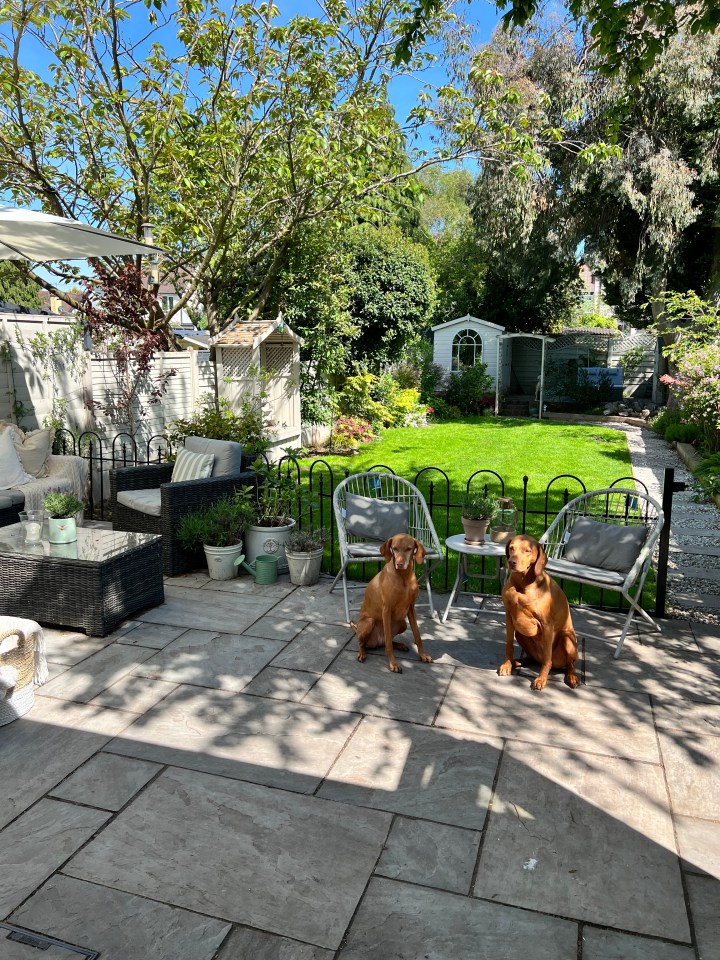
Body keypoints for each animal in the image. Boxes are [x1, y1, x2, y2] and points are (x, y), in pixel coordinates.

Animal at [350, 532, 430, 676]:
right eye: (395, 548)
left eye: (409, 549)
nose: (400, 563)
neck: (403, 576)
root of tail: (376, 642)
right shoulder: (386, 609)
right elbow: (388, 644)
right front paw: (393, 664)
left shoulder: (411, 607)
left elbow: (417, 634)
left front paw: (423, 655)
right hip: (369, 622)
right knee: (362, 642)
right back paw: (361, 654)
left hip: (402, 623)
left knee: (387, 641)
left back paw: (400, 645)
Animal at [500, 532, 580, 688]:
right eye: (511, 548)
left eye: (527, 550)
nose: (511, 562)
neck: (522, 584)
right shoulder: (508, 616)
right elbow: (509, 645)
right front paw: (506, 664)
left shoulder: (547, 624)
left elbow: (547, 657)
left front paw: (541, 678)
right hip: (520, 633)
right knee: (531, 658)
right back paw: (515, 662)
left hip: (567, 639)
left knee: (569, 664)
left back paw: (572, 677)